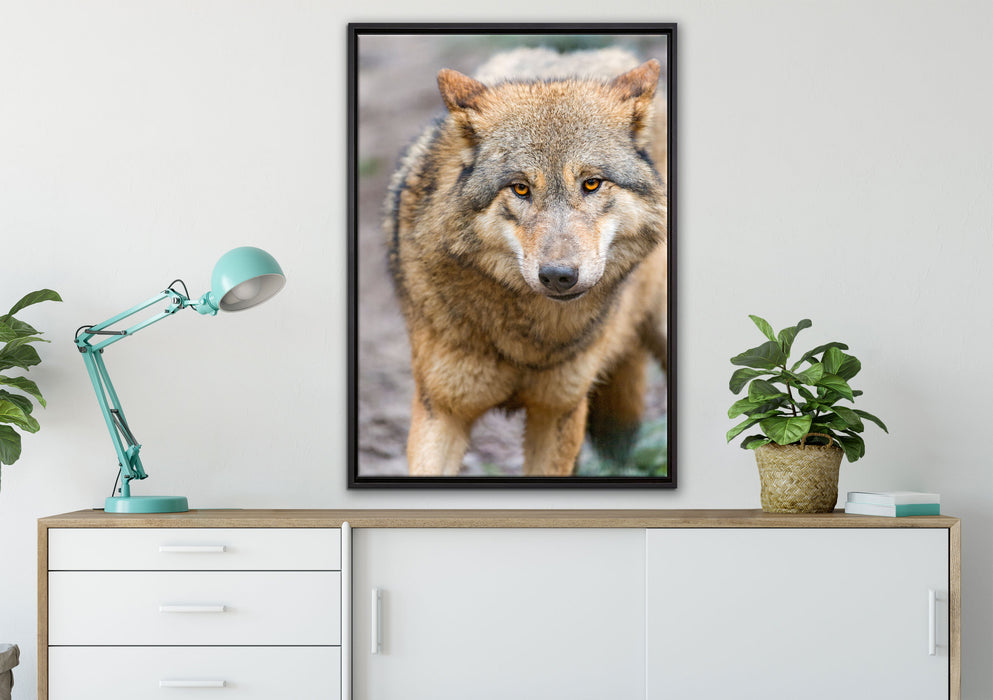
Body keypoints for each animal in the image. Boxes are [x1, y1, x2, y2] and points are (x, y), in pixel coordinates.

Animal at [385, 48, 668, 476]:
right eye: (520, 188)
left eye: (591, 183)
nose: (558, 276)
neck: (526, 342)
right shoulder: (441, 410)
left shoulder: (558, 412)